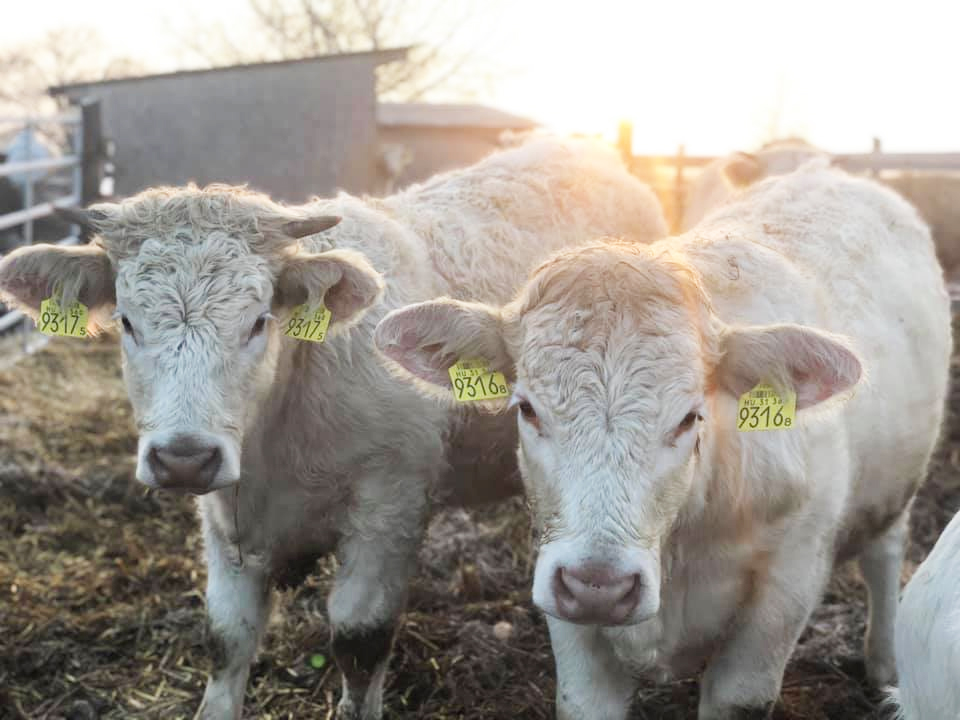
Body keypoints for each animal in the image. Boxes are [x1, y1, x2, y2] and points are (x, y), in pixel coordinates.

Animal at [0, 136, 664, 720]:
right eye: (128, 322)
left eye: (258, 321)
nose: (184, 458)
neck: (278, 441)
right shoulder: (222, 519)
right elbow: (226, 637)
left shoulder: (390, 509)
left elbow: (358, 639)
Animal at [376, 160, 952, 716]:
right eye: (527, 408)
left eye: (689, 418)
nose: (600, 586)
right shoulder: (559, 577)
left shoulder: (785, 589)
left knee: (885, 551)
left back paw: (884, 662)